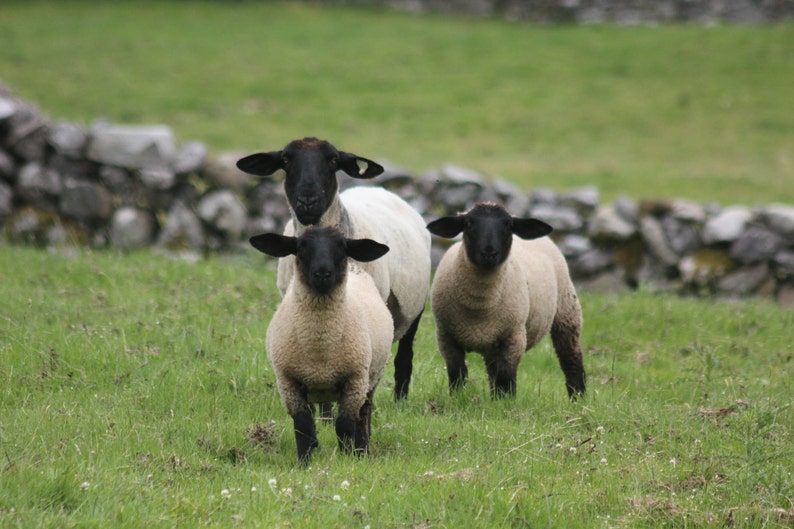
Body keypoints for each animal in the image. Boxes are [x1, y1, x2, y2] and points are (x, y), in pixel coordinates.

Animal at [237, 137, 431, 401]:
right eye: (285, 160)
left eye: (333, 161)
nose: (307, 202)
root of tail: (380, 189)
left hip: (414, 310)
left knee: (404, 357)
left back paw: (400, 399)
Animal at [250, 226, 394, 465]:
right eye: (301, 247)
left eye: (342, 247)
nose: (323, 274)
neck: (320, 348)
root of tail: (356, 267)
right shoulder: (288, 382)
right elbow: (303, 425)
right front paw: (304, 462)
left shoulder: (354, 380)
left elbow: (344, 425)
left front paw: (346, 459)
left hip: (371, 377)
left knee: (363, 415)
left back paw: (362, 451)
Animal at [426, 202, 586, 399]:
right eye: (469, 223)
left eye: (509, 225)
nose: (489, 252)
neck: (480, 304)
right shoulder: (446, 337)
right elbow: (458, 375)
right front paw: (457, 398)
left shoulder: (513, 337)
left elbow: (506, 378)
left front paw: (505, 403)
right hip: (493, 343)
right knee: (492, 370)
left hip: (566, 310)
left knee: (571, 358)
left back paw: (578, 398)